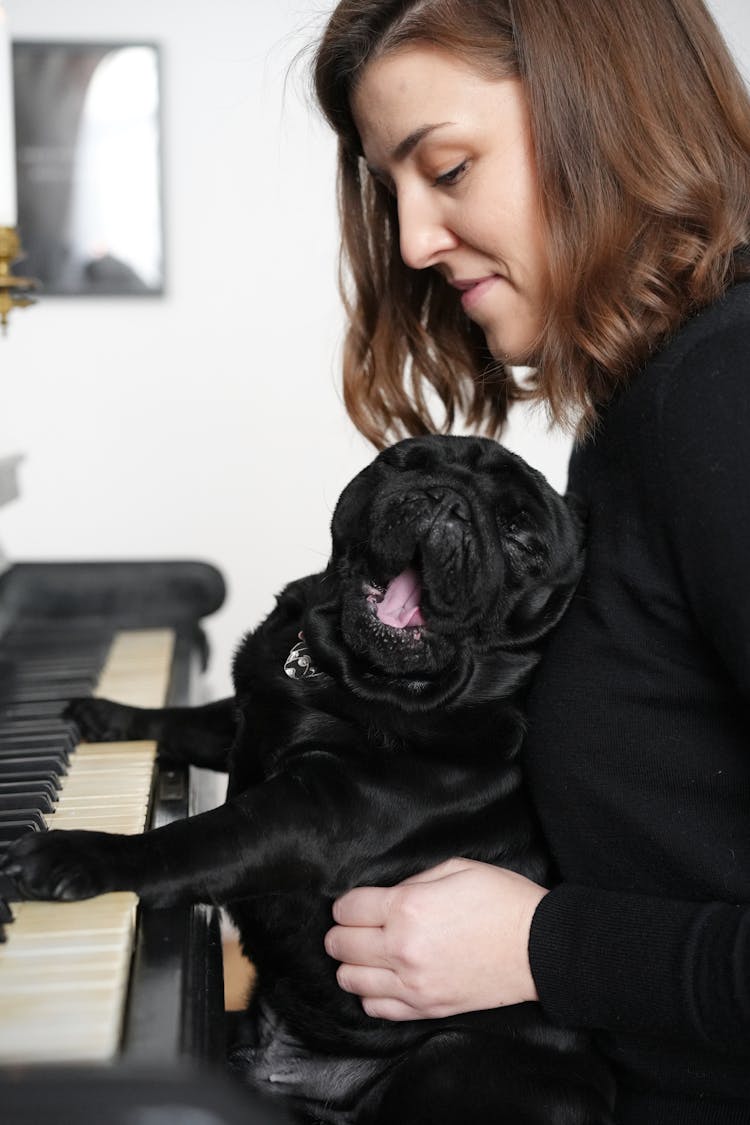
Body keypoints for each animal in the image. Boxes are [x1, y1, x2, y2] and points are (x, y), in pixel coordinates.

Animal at [0, 434, 611, 1120]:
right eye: (404, 462)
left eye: (521, 538)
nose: (445, 499)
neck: (335, 671)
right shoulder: (247, 718)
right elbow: (188, 721)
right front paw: (111, 714)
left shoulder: (313, 811)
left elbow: (197, 840)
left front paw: (80, 853)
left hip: (448, 1058)